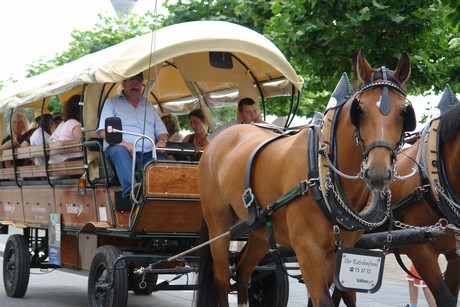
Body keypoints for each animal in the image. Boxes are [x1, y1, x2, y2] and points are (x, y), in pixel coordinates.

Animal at [196, 51, 416, 307]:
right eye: (360, 110)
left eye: (403, 112)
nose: (378, 172)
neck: (322, 175)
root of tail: (219, 137)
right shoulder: (308, 251)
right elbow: (324, 300)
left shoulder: (341, 251)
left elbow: (341, 295)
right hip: (218, 224)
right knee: (221, 278)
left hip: (260, 229)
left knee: (242, 268)